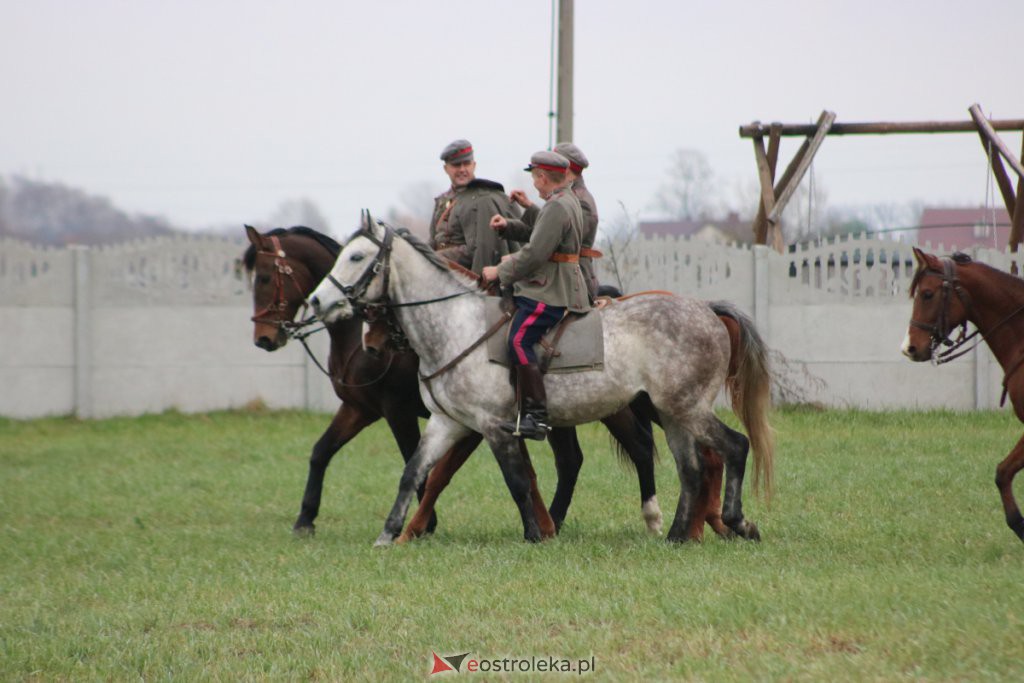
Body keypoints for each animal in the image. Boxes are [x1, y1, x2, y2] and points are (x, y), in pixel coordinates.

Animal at [307, 218, 770, 544]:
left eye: (356, 257)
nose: (315, 301)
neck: (456, 324)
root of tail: (706, 309)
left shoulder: (493, 426)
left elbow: (515, 481)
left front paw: (534, 535)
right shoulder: (447, 423)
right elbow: (414, 474)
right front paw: (389, 534)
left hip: (685, 407)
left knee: (733, 446)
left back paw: (736, 523)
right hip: (670, 412)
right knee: (691, 467)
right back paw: (677, 535)